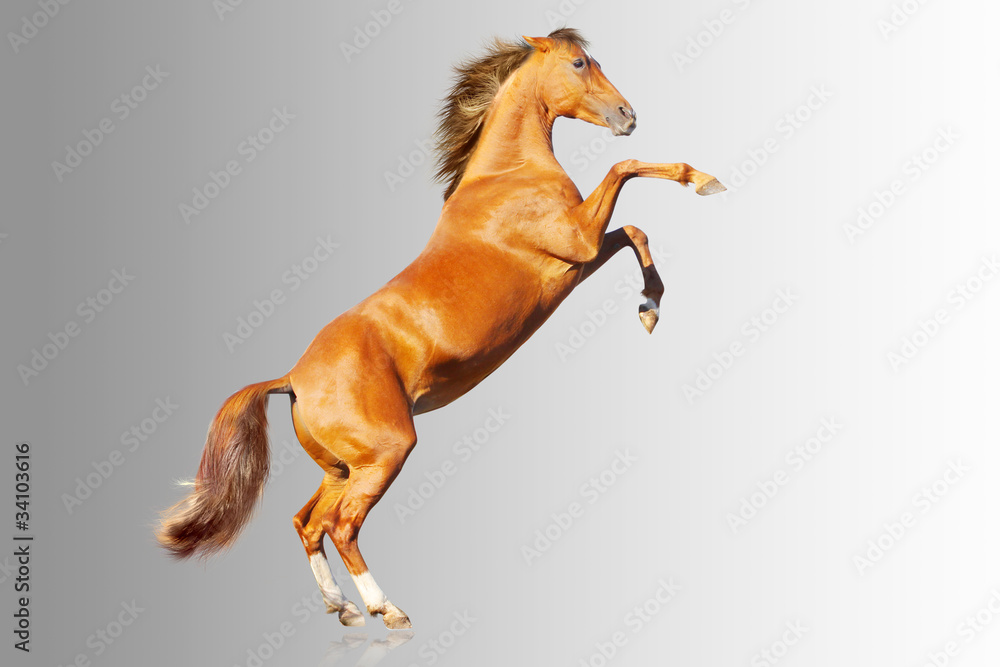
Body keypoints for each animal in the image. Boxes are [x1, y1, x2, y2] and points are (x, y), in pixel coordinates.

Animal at [157, 28, 725, 629]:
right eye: (578, 63)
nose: (627, 115)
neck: (507, 176)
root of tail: (291, 378)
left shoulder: (580, 259)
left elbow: (634, 231)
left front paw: (650, 308)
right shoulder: (579, 240)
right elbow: (627, 171)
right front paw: (704, 182)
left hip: (342, 467)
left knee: (306, 522)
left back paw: (343, 609)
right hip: (385, 453)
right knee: (341, 525)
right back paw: (387, 611)